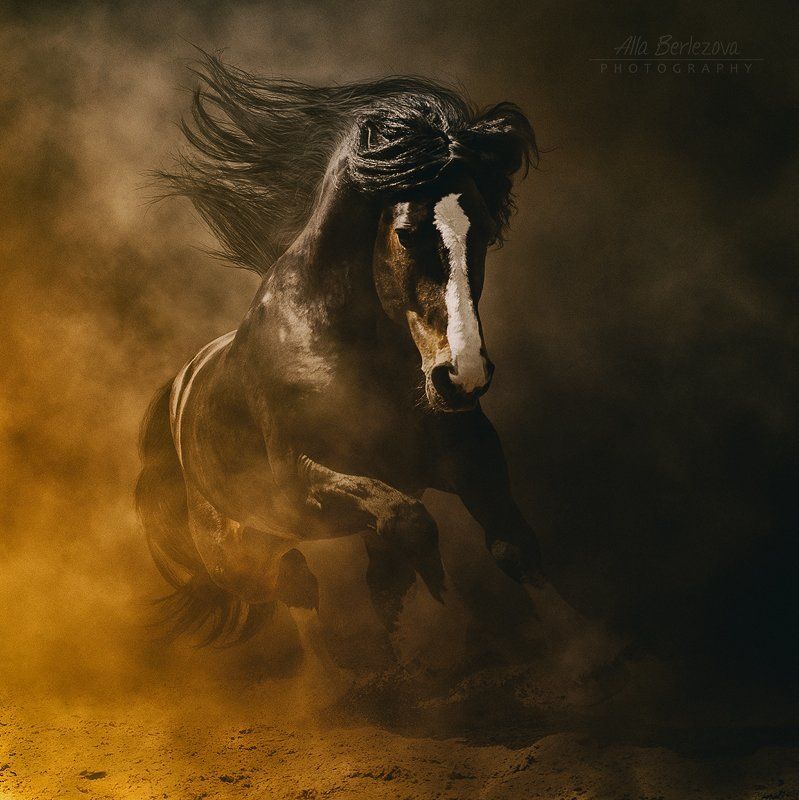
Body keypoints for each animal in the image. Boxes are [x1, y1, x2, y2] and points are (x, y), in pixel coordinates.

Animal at [136, 55, 552, 662]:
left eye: (486, 231)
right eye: (406, 233)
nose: (463, 375)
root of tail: (177, 388)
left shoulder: (465, 452)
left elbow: (512, 548)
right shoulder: (303, 482)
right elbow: (412, 524)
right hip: (235, 550)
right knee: (286, 583)